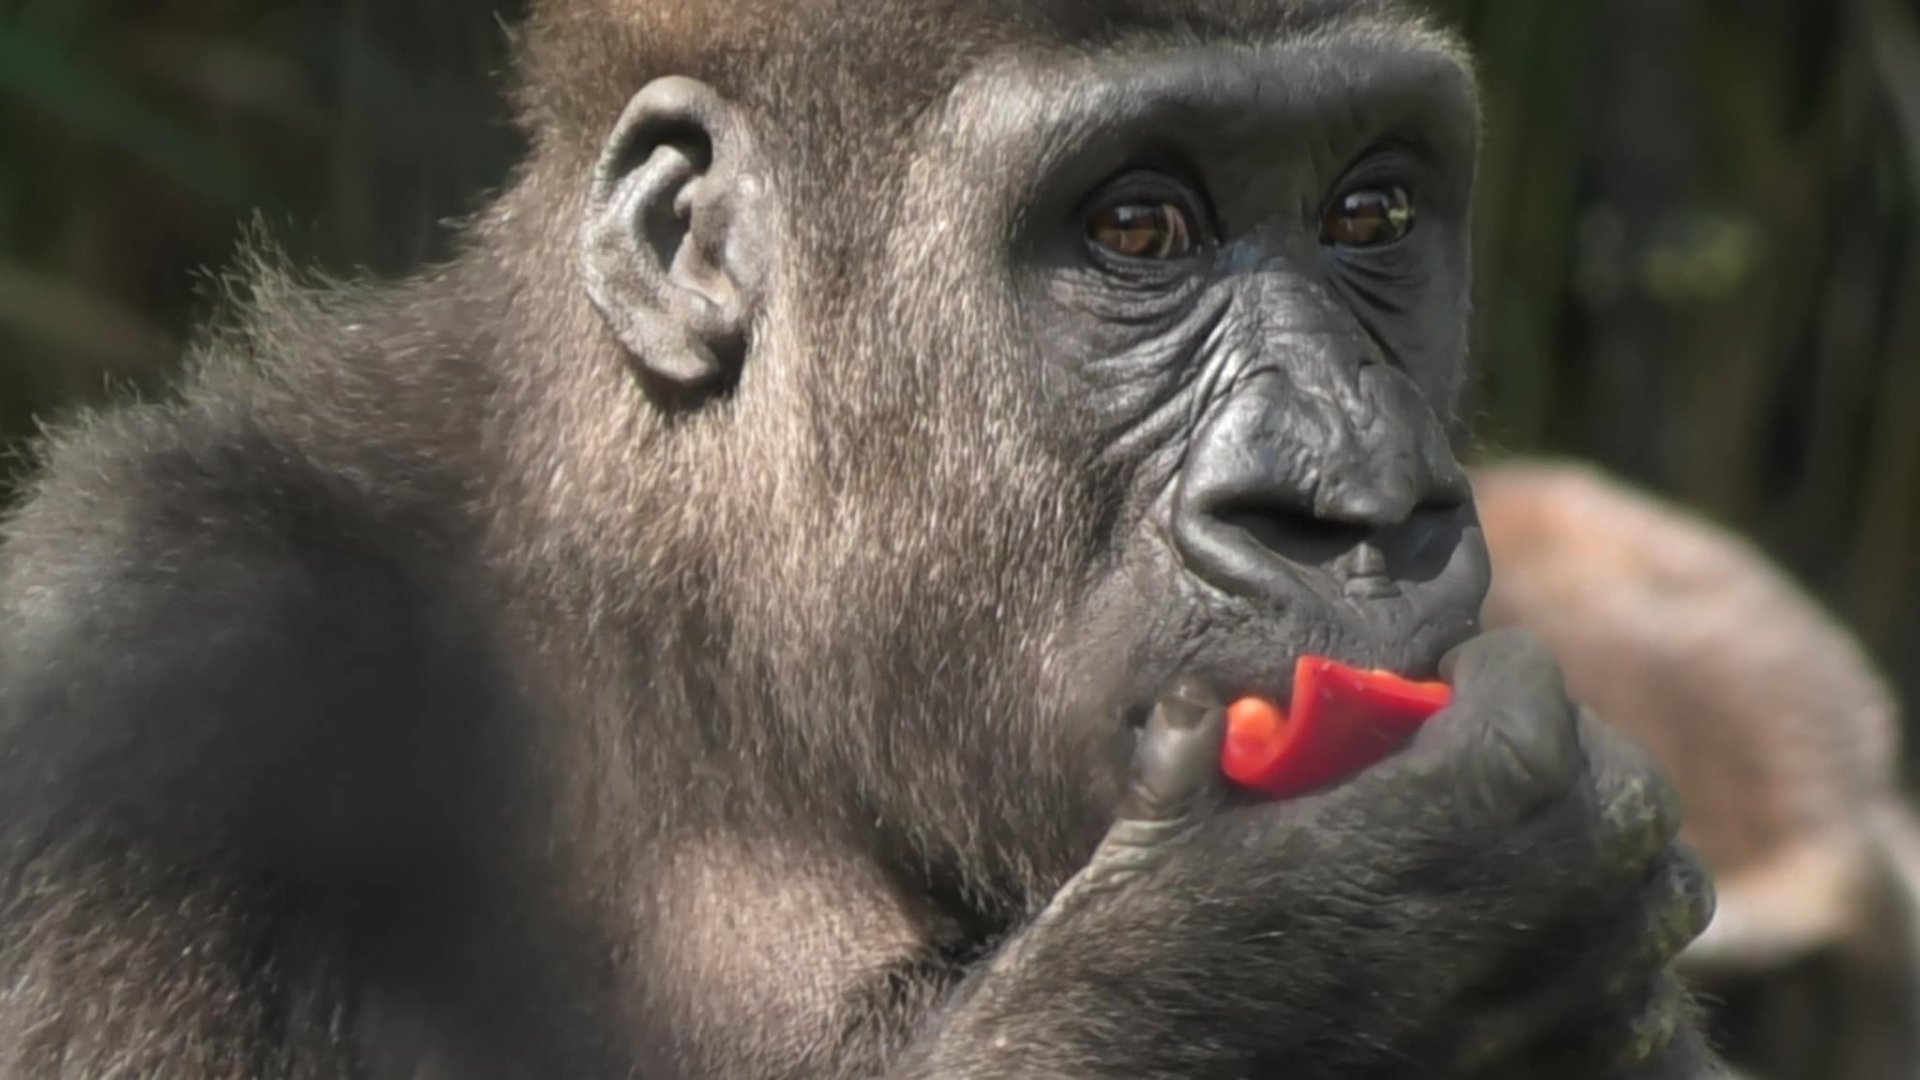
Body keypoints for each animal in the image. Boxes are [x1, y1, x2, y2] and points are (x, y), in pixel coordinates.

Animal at [0, 1, 1723, 1076]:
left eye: (1374, 214)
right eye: (1138, 229)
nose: (1360, 498)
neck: (682, 643)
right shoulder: (137, 677)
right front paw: (1302, 973)